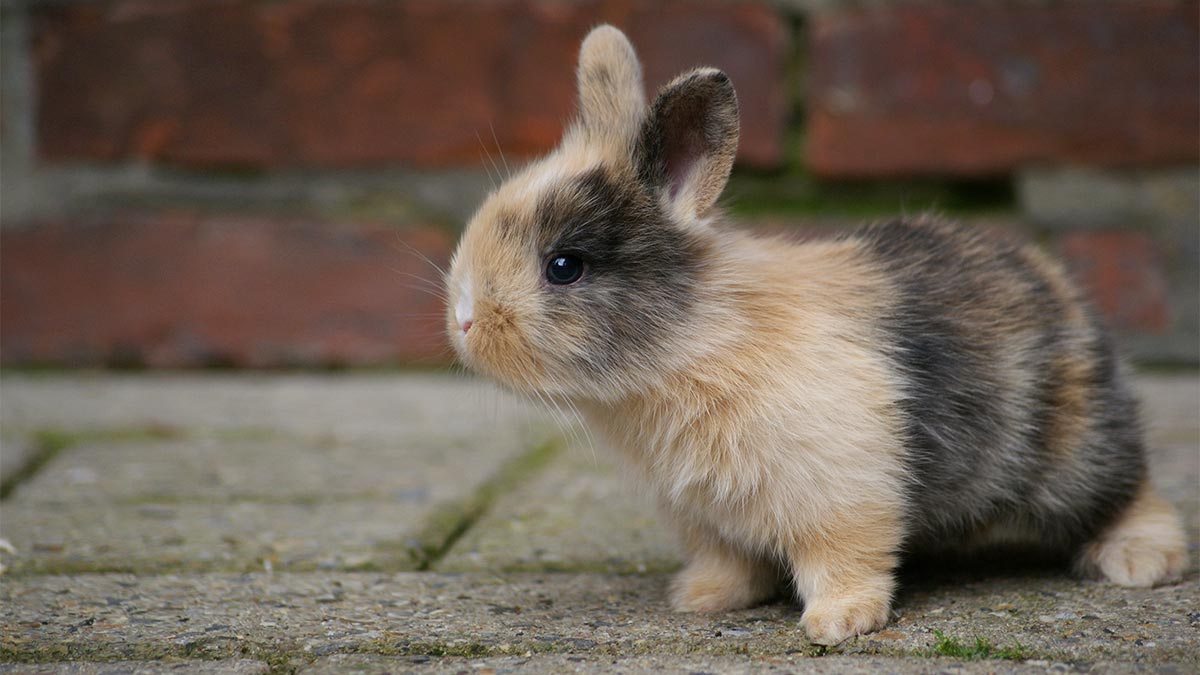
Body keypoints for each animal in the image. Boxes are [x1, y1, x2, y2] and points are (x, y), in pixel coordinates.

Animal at [444, 26, 1190, 643]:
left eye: (564, 266)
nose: (464, 318)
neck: (695, 342)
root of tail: (1058, 287)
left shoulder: (842, 493)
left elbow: (845, 560)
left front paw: (838, 623)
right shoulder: (707, 517)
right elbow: (729, 560)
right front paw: (701, 598)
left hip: (1074, 452)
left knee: (1131, 491)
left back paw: (1142, 562)